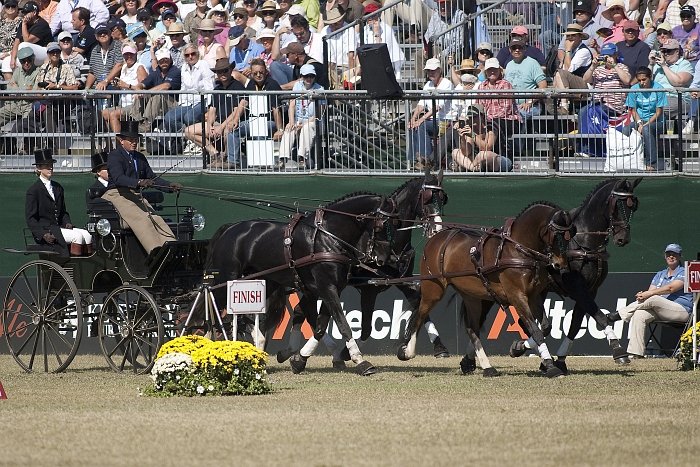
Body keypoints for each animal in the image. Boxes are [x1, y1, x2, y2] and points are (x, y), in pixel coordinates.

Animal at [205, 192, 396, 374]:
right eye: (382, 224)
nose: (385, 257)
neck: (327, 237)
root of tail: (229, 228)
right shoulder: (326, 287)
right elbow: (342, 324)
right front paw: (361, 361)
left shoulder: (331, 288)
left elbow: (320, 325)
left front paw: (298, 360)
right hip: (227, 280)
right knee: (211, 302)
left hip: (262, 283)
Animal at [274, 171, 448, 366]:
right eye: (426, 198)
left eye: (443, 198)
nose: (437, 228)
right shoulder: (368, 289)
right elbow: (365, 328)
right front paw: (347, 353)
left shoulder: (402, 279)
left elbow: (419, 302)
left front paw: (435, 347)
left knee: (299, 310)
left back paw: (291, 352)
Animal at [400, 203, 576, 378]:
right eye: (557, 235)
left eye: (571, 234)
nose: (560, 264)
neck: (517, 249)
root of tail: (435, 239)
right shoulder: (517, 296)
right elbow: (535, 329)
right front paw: (550, 366)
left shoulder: (533, 296)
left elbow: (544, 328)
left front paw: (521, 349)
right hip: (433, 290)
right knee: (419, 316)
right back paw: (407, 352)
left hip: (471, 297)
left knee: (472, 329)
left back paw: (487, 367)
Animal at [506, 177, 644, 374]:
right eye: (616, 205)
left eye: (634, 206)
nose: (622, 238)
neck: (583, 243)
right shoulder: (578, 289)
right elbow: (600, 317)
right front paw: (618, 351)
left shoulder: (590, 290)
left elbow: (575, 325)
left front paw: (560, 360)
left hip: (538, 292)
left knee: (529, 323)